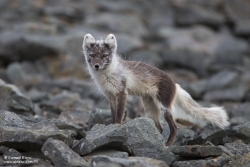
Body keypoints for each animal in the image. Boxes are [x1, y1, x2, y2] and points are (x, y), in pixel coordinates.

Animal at [82, 33, 230, 145]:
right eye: (92, 55)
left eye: (105, 56)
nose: (96, 66)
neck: (106, 75)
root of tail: (175, 84)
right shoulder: (111, 97)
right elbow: (113, 115)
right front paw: (110, 128)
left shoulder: (121, 93)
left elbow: (119, 116)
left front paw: (116, 128)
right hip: (150, 108)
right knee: (159, 128)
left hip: (164, 106)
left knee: (174, 128)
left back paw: (167, 145)